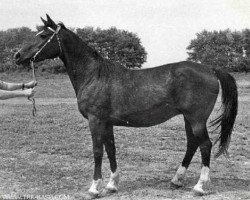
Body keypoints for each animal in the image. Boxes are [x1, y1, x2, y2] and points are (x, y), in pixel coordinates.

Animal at [14, 14, 237, 198]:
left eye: (43, 35)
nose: (17, 55)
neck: (95, 75)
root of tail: (210, 68)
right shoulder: (107, 123)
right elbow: (111, 149)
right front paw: (112, 185)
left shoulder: (96, 121)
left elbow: (97, 150)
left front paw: (94, 188)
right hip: (188, 118)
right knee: (192, 144)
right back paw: (176, 180)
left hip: (196, 119)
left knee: (205, 145)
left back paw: (199, 186)